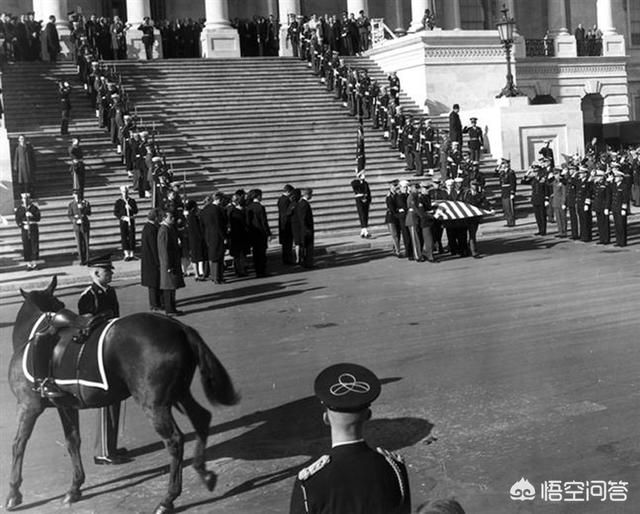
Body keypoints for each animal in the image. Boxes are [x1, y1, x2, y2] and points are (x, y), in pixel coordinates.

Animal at [4, 276, 240, 512]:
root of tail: (179, 328)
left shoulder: (28, 406)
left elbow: (18, 444)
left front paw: (14, 493)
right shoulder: (65, 406)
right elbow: (72, 442)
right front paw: (75, 488)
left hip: (153, 403)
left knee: (174, 441)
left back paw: (168, 499)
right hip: (179, 393)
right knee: (201, 418)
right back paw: (203, 472)